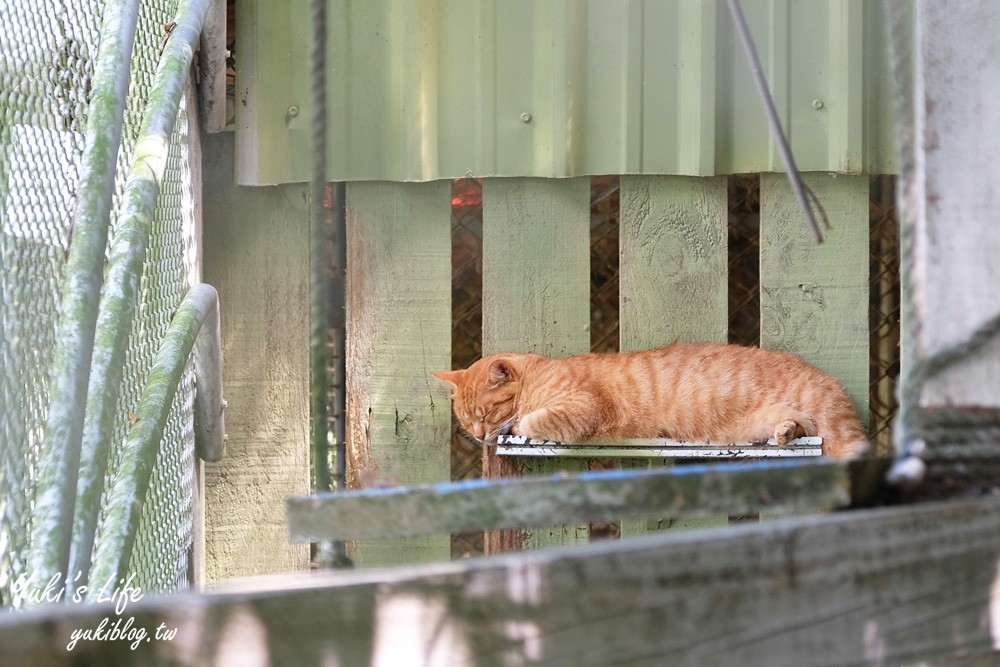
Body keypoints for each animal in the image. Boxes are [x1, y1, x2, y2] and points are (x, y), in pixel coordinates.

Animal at [434, 344, 872, 460]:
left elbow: (533, 420)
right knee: (798, 426)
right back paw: (784, 431)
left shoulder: (584, 409)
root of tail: (828, 379)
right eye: (465, 421)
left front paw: (521, 422)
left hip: (828, 424)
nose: (478, 435)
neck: (537, 378)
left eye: (485, 413)